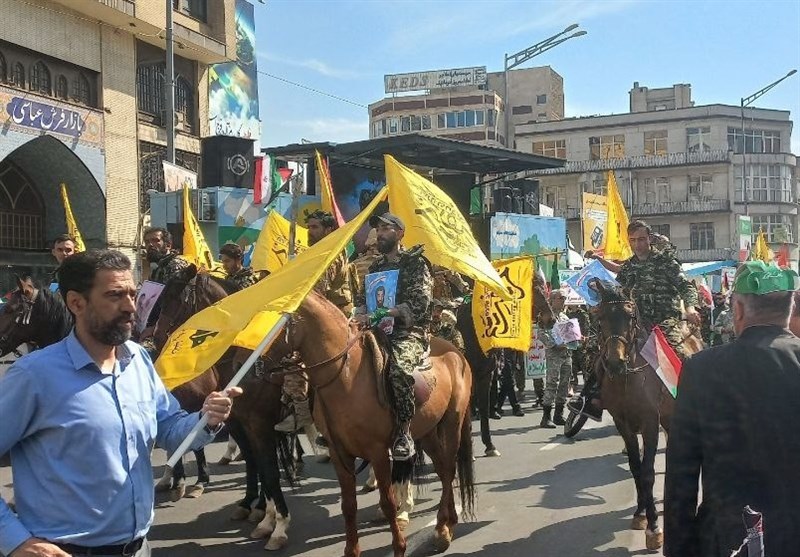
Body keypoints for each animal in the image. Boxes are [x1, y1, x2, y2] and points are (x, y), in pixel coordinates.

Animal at [272, 292, 476, 556]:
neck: (345, 376)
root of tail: (456, 353)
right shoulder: (340, 454)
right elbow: (348, 505)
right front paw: (351, 550)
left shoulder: (377, 451)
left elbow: (388, 502)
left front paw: (399, 547)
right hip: (427, 431)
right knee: (442, 469)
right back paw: (448, 524)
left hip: (452, 422)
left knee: (449, 468)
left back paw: (441, 528)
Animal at [592, 280, 704, 548]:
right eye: (600, 317)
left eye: (630, 316)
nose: (615, 363)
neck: (628, 378)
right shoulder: (623, 424)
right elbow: (635, 468)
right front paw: (640, 513)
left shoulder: (650, 424)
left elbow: (648, 472)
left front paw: (654, 527)